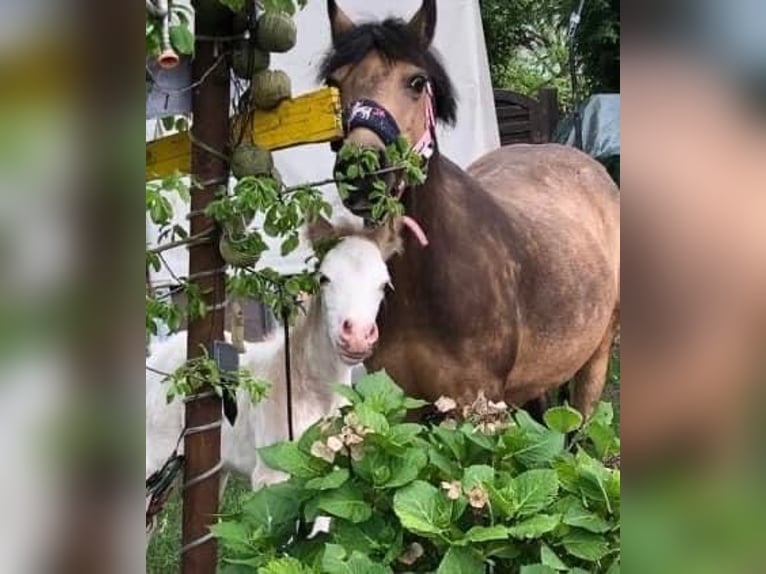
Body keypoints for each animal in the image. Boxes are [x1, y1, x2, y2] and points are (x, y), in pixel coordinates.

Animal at [322, 0, 616, 416]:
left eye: (416, 82)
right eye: (335, 83)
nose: (361, 172)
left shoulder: (473, 402)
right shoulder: (398, 401)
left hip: (596, 357)